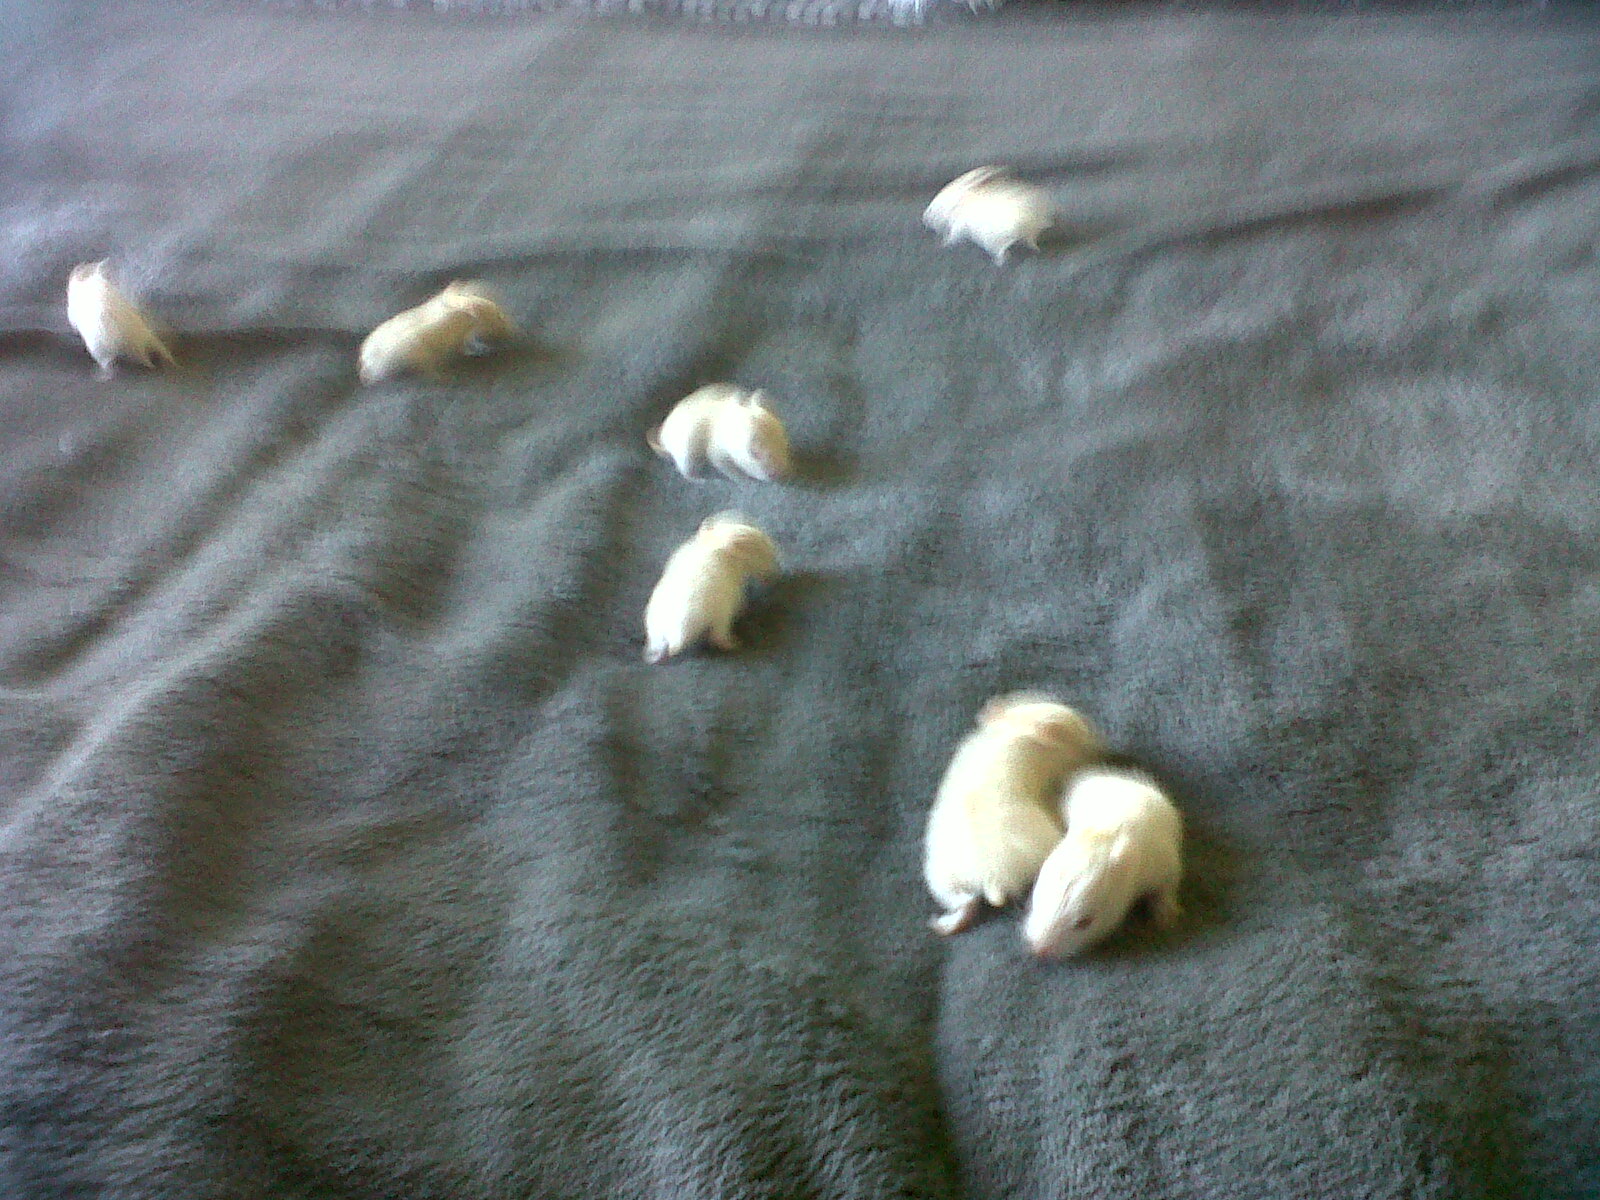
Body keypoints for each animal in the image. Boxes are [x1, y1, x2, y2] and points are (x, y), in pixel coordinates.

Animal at [643, 512, 779, 664]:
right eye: (765, 550)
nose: (774, 573)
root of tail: (676, 632)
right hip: (720, 617)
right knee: (719, 637)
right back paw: (734, 644)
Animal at [647, 384, 792, 482]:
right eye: (754, 453)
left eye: (785, 444)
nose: (779, 475)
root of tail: (663, 438)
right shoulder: (717, 451)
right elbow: (725, 466)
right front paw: (743, 479)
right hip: (684, 450)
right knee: (685, 469)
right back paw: (700, 479)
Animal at [923, 694, 1105, 936]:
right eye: (1075, 725)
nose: (1098, 740)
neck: (1017, 731)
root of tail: (990, 877)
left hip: (940, 878)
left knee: (964, 901)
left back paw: (940, 924)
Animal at [1022, 768, 1184, 959]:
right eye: (1035, 900)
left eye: (1084, 922)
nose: (1039, 950)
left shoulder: (1163, 862)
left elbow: (1167, 886)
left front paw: (1165, 913)